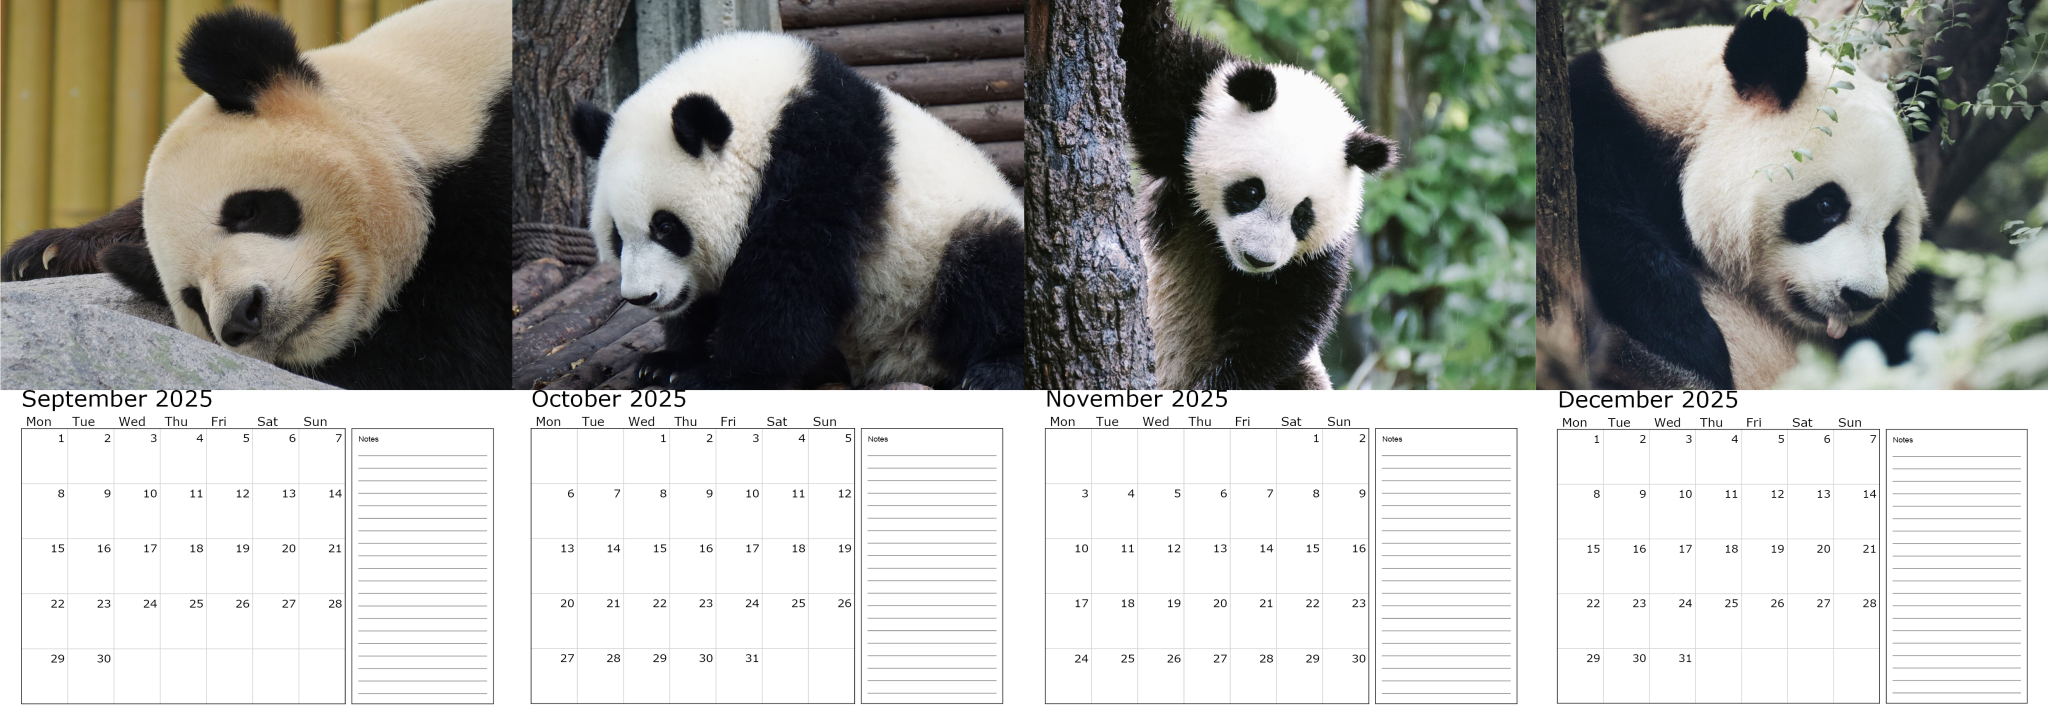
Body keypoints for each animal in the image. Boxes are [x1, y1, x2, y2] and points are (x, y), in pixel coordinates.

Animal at [570, 31, 1026, 390]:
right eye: (616, 234)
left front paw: (717, 376)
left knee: (990, 270)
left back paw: (995, 370)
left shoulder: (820, 166)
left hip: (942, 249)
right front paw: (668, 363)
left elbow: (790, 286)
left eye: (666, 227)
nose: (641, 297)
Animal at [1119, 0, 1395, 390]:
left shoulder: (1315, 257)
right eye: (1251, 191)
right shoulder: (1190, 105)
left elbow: (1277, 327)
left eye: (1303, 216)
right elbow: (1146, 49)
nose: (1258, 259)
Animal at [1569, 8, 1937, 389]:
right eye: (1826, 206)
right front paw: (1695, 344)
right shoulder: (1597, 132)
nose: (1860, 297)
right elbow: (1613, 235)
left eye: (1891, 232)